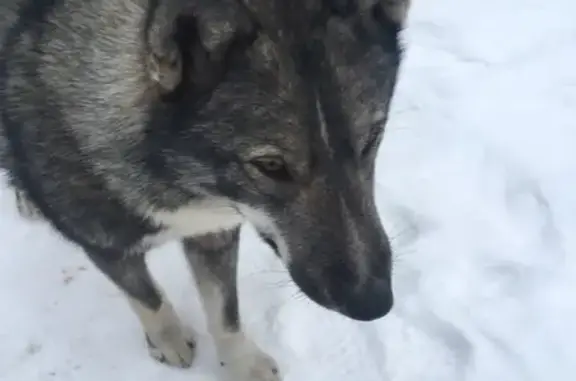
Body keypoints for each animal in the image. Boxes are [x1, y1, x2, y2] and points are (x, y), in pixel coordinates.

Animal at [2, 0, 412, 378]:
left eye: (371, 140)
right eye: (271, 166)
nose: (374, 302)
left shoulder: (214, 230)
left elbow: (224, 310)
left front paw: (241, 363)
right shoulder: (104, 244)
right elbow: (147, 298)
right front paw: (168, 339)